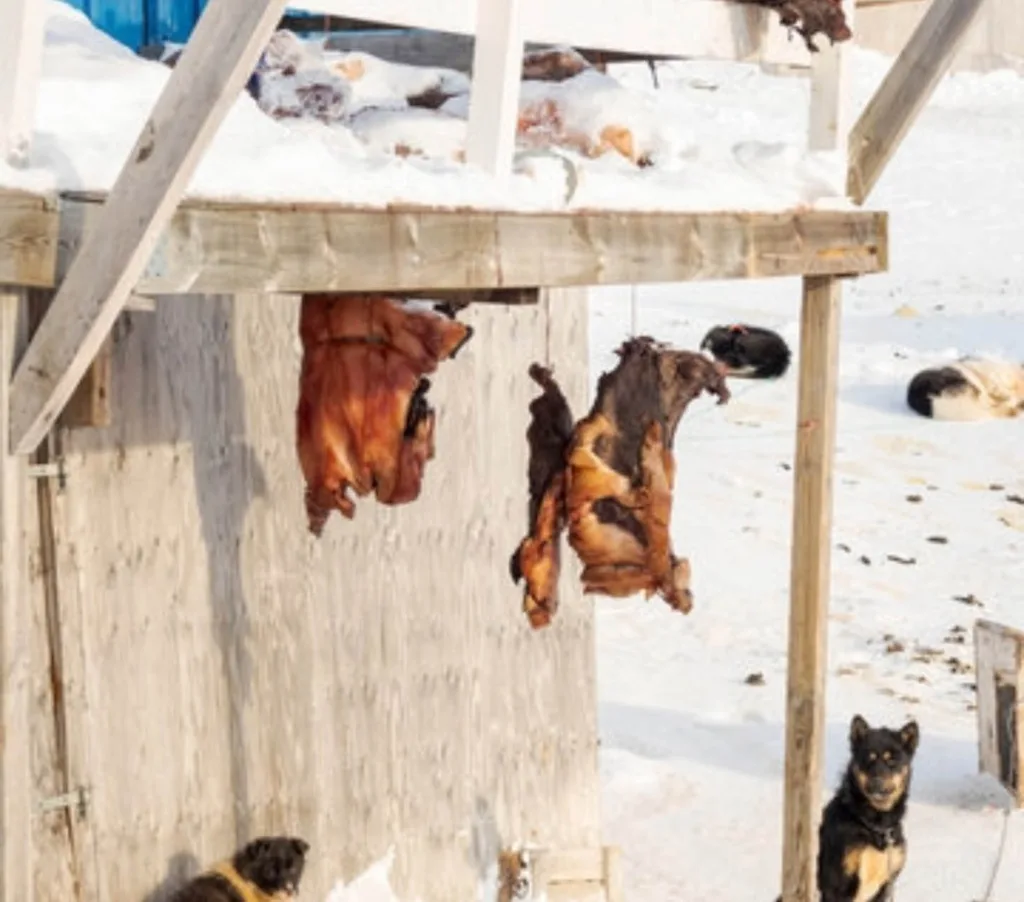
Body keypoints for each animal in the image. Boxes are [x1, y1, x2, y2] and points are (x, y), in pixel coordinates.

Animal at [815, 712, 921, 900]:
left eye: (892, 760)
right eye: (868, 758)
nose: (876, 782)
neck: (876, 825)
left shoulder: (886, 884)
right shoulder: (837, 884)